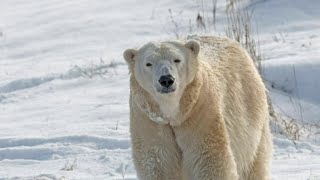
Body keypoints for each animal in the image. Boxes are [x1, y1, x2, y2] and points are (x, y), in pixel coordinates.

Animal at [122, 35, 272, 179]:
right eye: (148, 63)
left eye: (177, 60)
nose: (166, 79)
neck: (173, 113)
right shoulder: (150, 122)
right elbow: (158, 163)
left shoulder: (200, 113)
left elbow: (211, 162)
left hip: (250, 117)